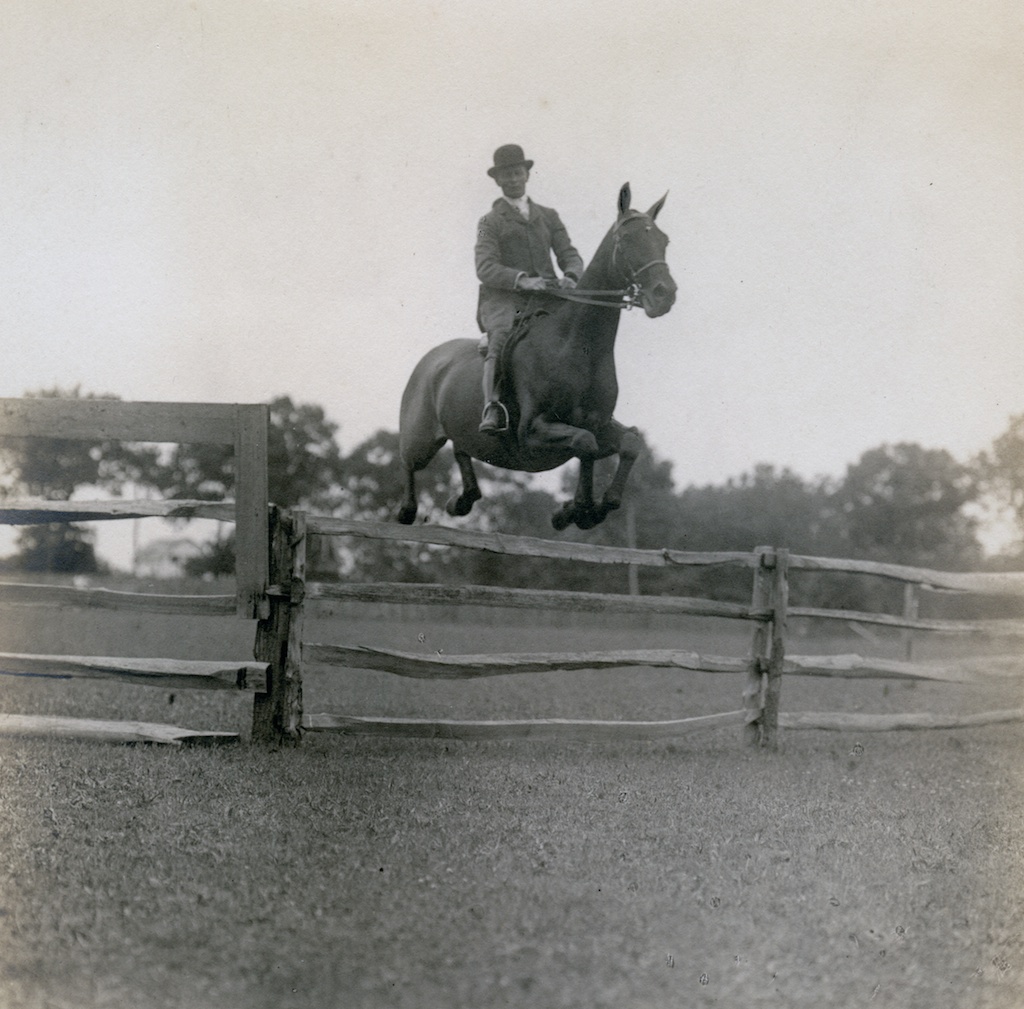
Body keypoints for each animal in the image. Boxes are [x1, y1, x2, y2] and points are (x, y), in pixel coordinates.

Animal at [395, 182, 675, 532]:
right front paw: (580, 509)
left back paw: (462, 500)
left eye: (663, 240)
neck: (576, 346)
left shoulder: (599, 423)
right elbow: (585, 444)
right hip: (421, 438)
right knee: (407, 461)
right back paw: (406, 511)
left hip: (461, 432)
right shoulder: (532, 432)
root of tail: (430, 359)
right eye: (627, 239)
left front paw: (582, 509)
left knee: (461, 450)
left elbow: (627, 443)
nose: (665, 295)